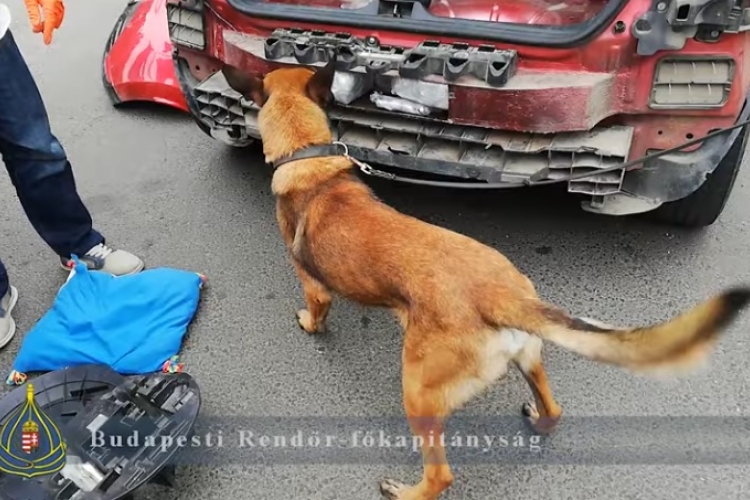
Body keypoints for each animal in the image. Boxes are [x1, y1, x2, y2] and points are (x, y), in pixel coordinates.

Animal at [223, 58, 750, 500]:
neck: (308, 154)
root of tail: (501, 295)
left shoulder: (312, 285)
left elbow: (316, 308)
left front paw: (308, 324)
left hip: (418, 391)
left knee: (441, 475)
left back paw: (407, 491)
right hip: (528, 357)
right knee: (553, 410)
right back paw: (539, 419)